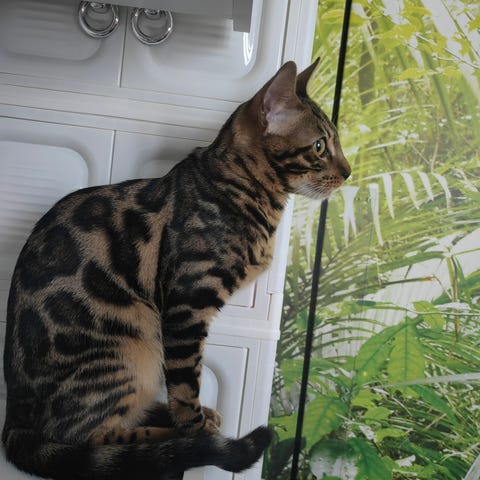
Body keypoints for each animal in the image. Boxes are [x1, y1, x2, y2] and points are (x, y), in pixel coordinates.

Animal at [2, 59, 350, 479]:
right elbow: (186, 384)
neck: (238, 189)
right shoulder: (188, 305)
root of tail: (14, 417)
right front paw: (197, 434)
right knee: (94, 437)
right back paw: (170, 437)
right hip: (133, 346)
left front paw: (197, 424)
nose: (349, 171)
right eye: (320, 146)